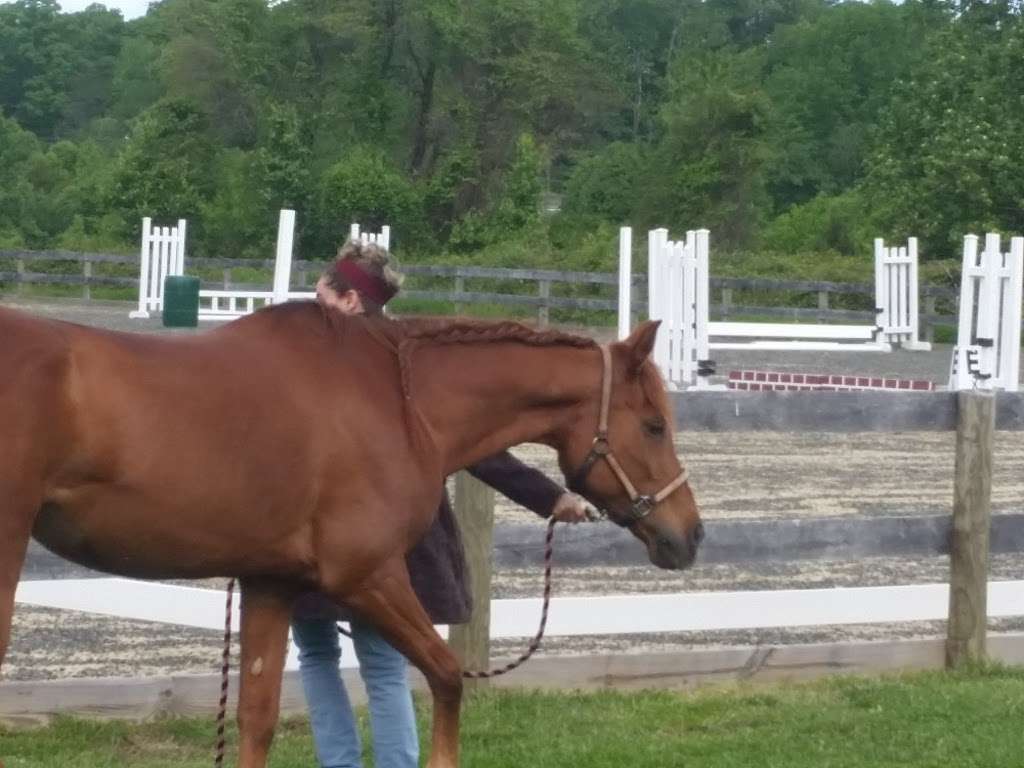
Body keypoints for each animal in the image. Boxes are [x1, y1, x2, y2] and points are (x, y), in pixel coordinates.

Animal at [0, 303, 700, 768]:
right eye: (655, 425)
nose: (689, 536)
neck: (401, 399)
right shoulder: (369, 576)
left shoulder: (271, 583)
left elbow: (256, 716)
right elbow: (446, 676)